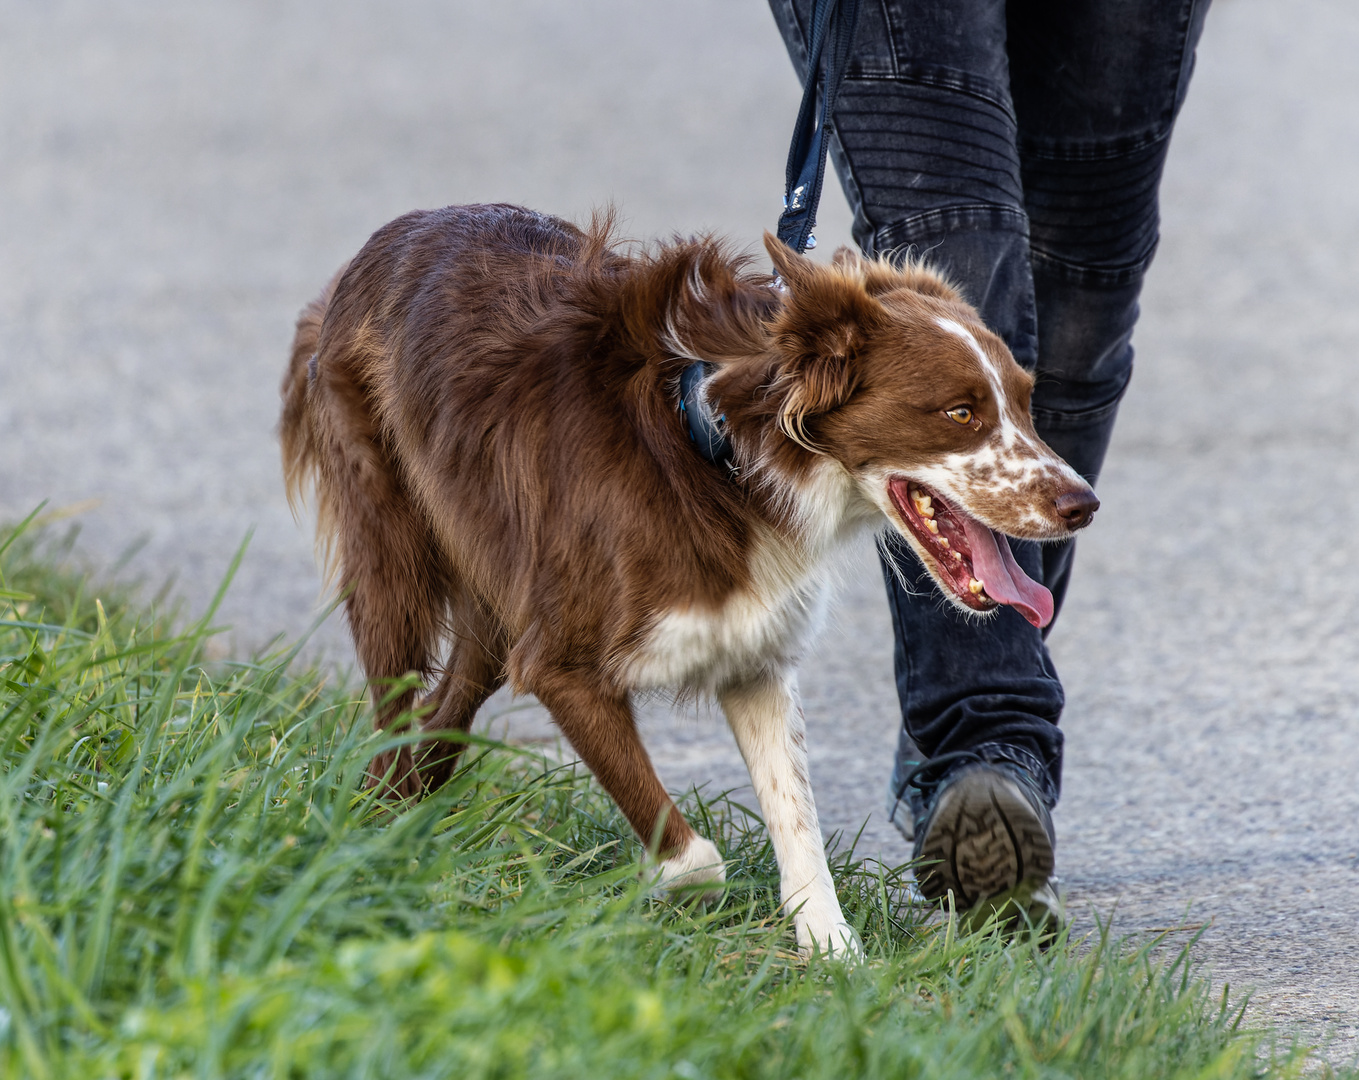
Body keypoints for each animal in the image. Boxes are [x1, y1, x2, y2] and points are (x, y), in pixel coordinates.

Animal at [281, 206, 1098, 956]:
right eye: (959, 412)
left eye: (1026, 403)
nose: (1083, 505)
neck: (726, 455)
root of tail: (392, 233)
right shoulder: (562, 665)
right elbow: (698, 859)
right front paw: (662, 902)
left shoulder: (754, 656)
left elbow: (796, 820)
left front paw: (834, 953)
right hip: (394, 557)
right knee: (397, 706)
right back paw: (379, 831)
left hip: (493, 588)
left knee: (446, 706)